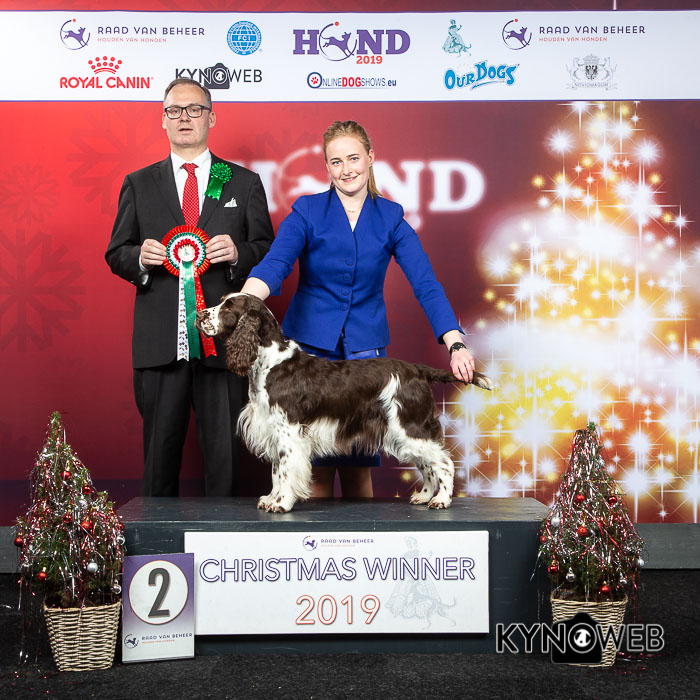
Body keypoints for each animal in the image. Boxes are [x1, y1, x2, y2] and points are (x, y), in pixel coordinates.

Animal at [196, 293, 493, 513]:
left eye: (228, 307)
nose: (199, 315)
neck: (270, 363)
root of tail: (418, 370)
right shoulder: (274, 430)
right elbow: (277, 471)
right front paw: (271, 498)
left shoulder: (289, 432)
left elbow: (285, 470)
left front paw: (281, 503)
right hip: (403, 432)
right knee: (427, 464)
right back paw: (424, 496)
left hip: (410, 426)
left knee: (443, 462)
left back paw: (441, 500)